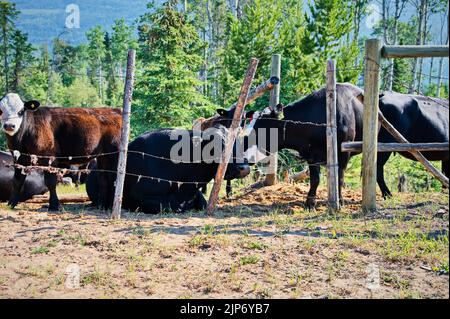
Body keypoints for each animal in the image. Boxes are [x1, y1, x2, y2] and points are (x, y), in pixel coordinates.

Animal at [207, 82, 366, 209]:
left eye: (259, 129)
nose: (242, 155)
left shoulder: (343, 152)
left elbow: (339, 178)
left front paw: (339, 202)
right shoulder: (312, 155)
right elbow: (315, 179)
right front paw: (310, 203)